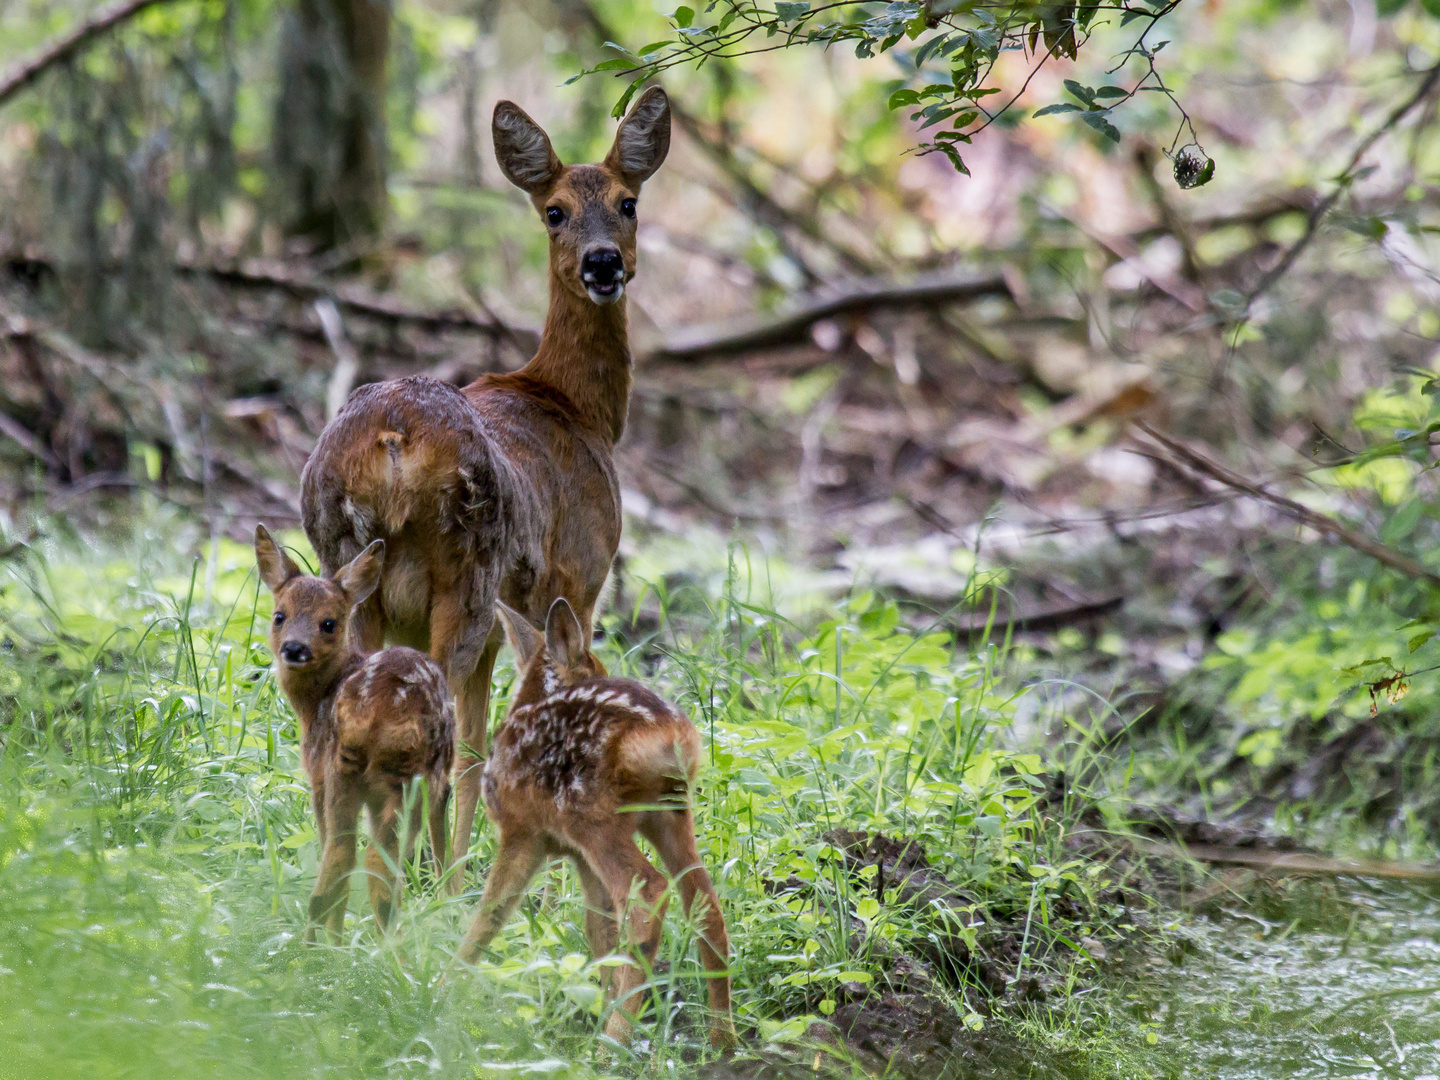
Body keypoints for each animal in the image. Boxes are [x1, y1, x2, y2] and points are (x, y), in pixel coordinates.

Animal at [255, 524, 455, 940]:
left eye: (329, 623)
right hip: (407, 779)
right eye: (280, 615)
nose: (294, 648)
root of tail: (377, 711)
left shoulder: (316, 774)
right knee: (374, 860)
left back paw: (322, 944)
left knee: (347, 854)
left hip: (366, 774)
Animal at [299, 87, 671, 891]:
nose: (603, 262)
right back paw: (418, 871)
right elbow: (499, 729)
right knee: (433, 724)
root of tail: (394, 436)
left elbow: (478, 738)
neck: (576, 407)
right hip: (466, 571)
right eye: (555, 210)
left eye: (628, 203)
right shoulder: (579, 578)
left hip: (347, 566)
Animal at [454, 597, 735, 1050]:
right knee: (703, 902)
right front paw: (598, 1003)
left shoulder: (522, 830)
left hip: (590, 815)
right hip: (668, 812)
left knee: (648, 893)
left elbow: (489, 915)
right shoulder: (577, 856)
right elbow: (599, 930)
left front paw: (440, 989)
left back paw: (610, 1045)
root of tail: (667, 733)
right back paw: (722, 1040)